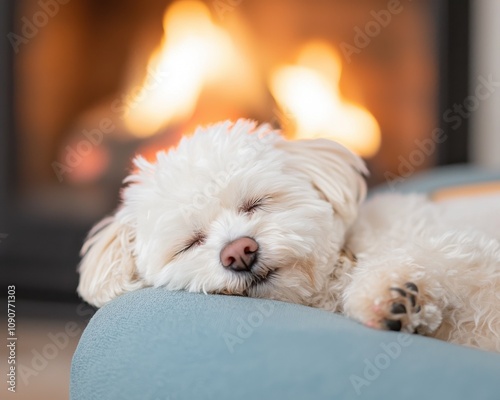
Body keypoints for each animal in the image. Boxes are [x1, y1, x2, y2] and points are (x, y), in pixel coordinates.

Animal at [78, 120, 500, 352]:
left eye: (255, 204)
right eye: (192, 241)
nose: (239, 252)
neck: (344, 267)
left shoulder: (468, 250)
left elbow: (446, 255)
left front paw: (393, 290)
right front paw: (395, 300)